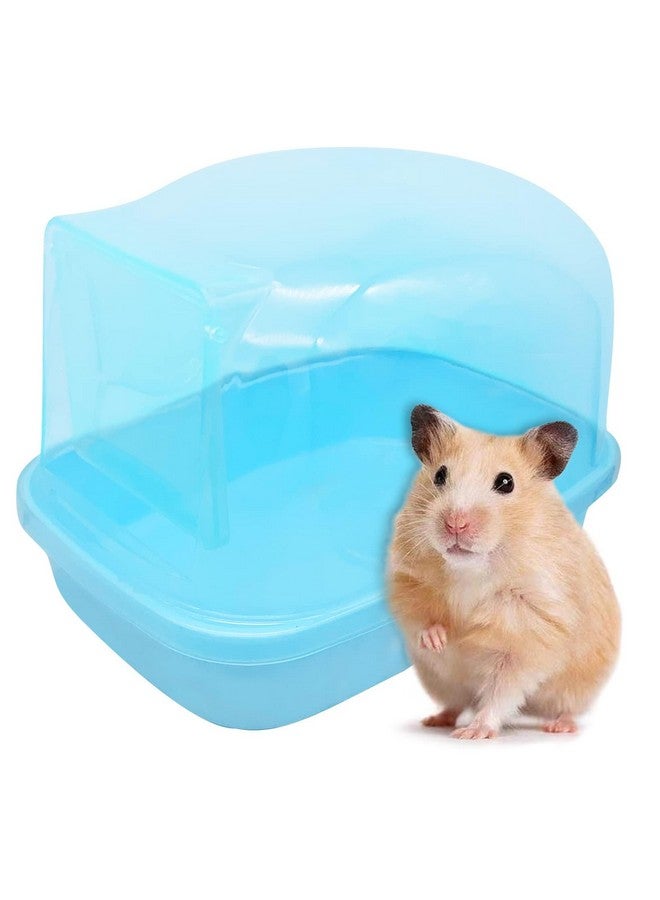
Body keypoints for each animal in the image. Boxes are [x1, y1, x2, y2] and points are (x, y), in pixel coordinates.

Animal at [388, 405, 620, 739]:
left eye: (506, 482)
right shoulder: (407, 579)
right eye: (440, 475)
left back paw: (558, 727)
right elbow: (421, 616)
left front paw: (473, 733)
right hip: (442, 683)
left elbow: (502, 689)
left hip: (577, 688)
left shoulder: (529, 634)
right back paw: (435, 720)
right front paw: (439, 640)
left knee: (564, 708)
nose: (455, 524)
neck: (471, 568)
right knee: (455, 703)